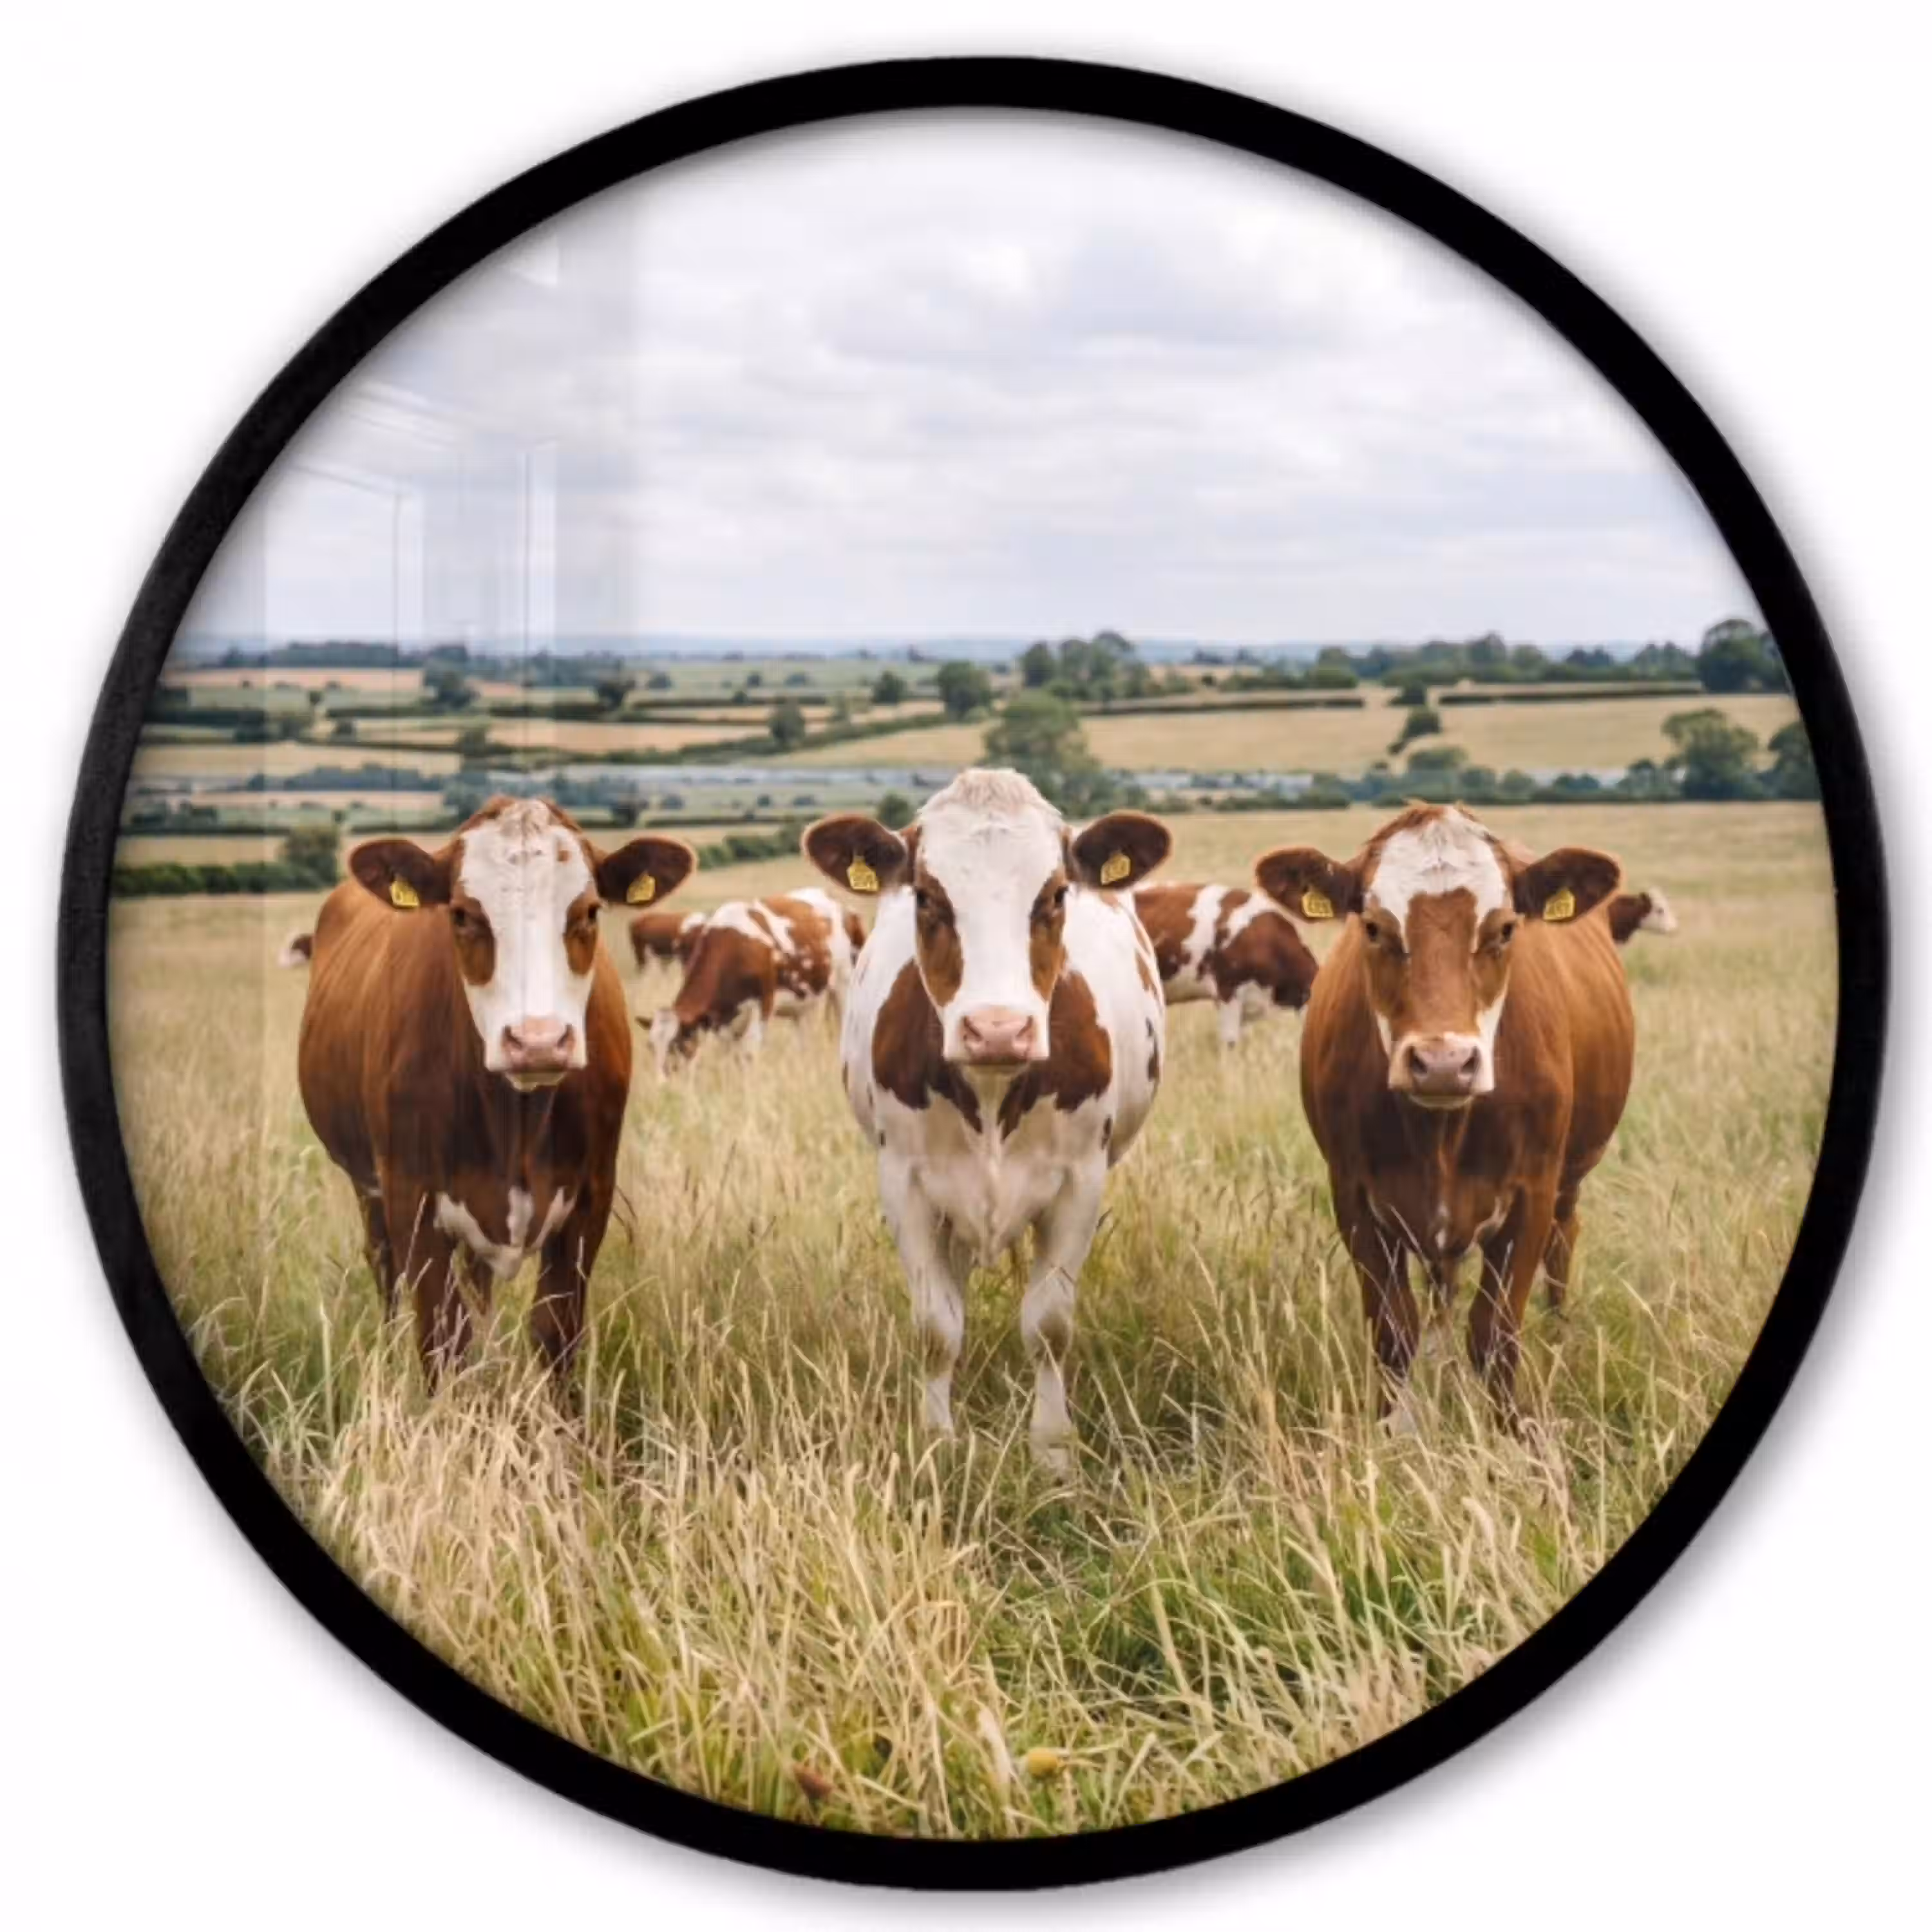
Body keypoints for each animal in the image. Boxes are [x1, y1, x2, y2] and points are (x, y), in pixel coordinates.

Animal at [296, 797, 695, 1383]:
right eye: (462, 914)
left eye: (590, 912)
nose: (538, 1042)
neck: (516, 1117)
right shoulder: (410, 1197)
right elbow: (443, 1340)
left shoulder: (591, 1198)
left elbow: (555, 1333)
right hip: (367, 1186)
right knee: (384, 1270)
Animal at [647, 886, 857, 1074]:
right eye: (651, 1047)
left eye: (677, 1044)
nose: (663, 1085)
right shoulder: (723, 1021)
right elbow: (730, 1055)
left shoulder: (763, 1005)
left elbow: (748, 1055)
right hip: (805, 1001)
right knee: (804, 1038)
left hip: (844, 983)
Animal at [804, 768, 1172, 1471]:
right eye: (926, 897)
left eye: (1056, 895)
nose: (997, 1029)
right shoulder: (905, 1183)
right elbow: (936, 1325)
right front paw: (937, 1441)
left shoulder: (1080, 1181)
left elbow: (1049, 1324)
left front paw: (1052, 1450)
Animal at [1256, 803, 1634, 1426]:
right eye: (1373, 928)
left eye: (1504, 929)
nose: (1442, 1063)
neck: (1440, 1133)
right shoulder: (1355, 1197)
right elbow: (1394, 1331)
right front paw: (1393, 1426)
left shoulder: (1533, 1194)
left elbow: (1495, 1332)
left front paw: (1511, 1430)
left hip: (1572, 1176)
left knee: (1564, 1239)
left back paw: (1560, 1332)